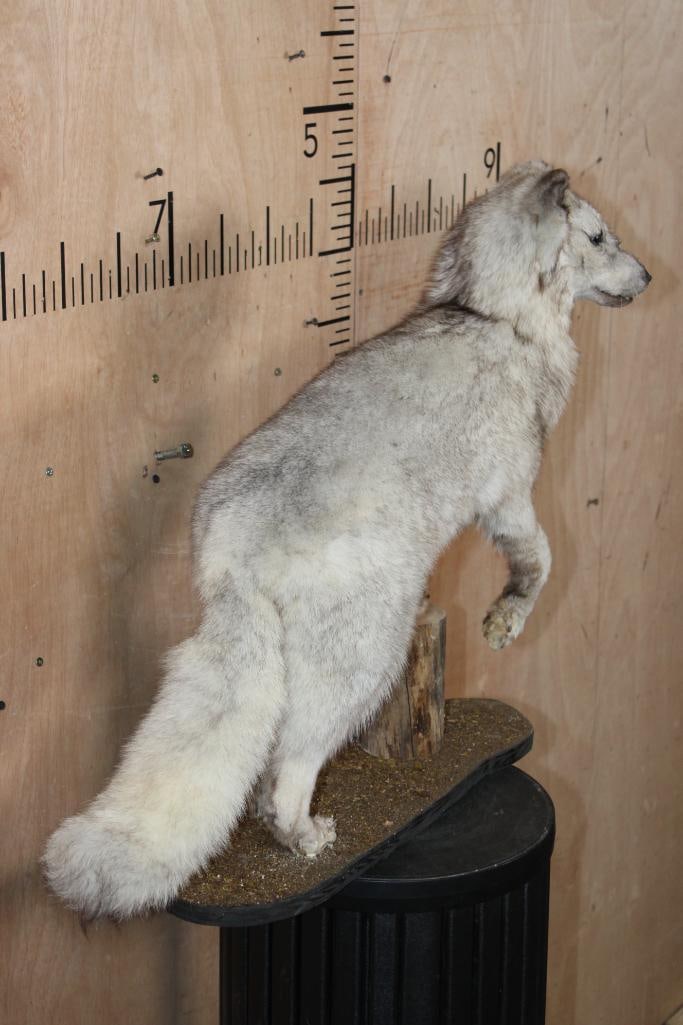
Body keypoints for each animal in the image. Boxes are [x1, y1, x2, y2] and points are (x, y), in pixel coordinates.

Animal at [43, 161, 651, 918]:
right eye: (599, 238)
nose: (648, 275)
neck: (489, 313)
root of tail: (229, 556)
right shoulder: (510, 498)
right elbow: (540, 561)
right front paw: (504, 621)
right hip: (366, 658)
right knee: (288, 767)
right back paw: (304, 837)